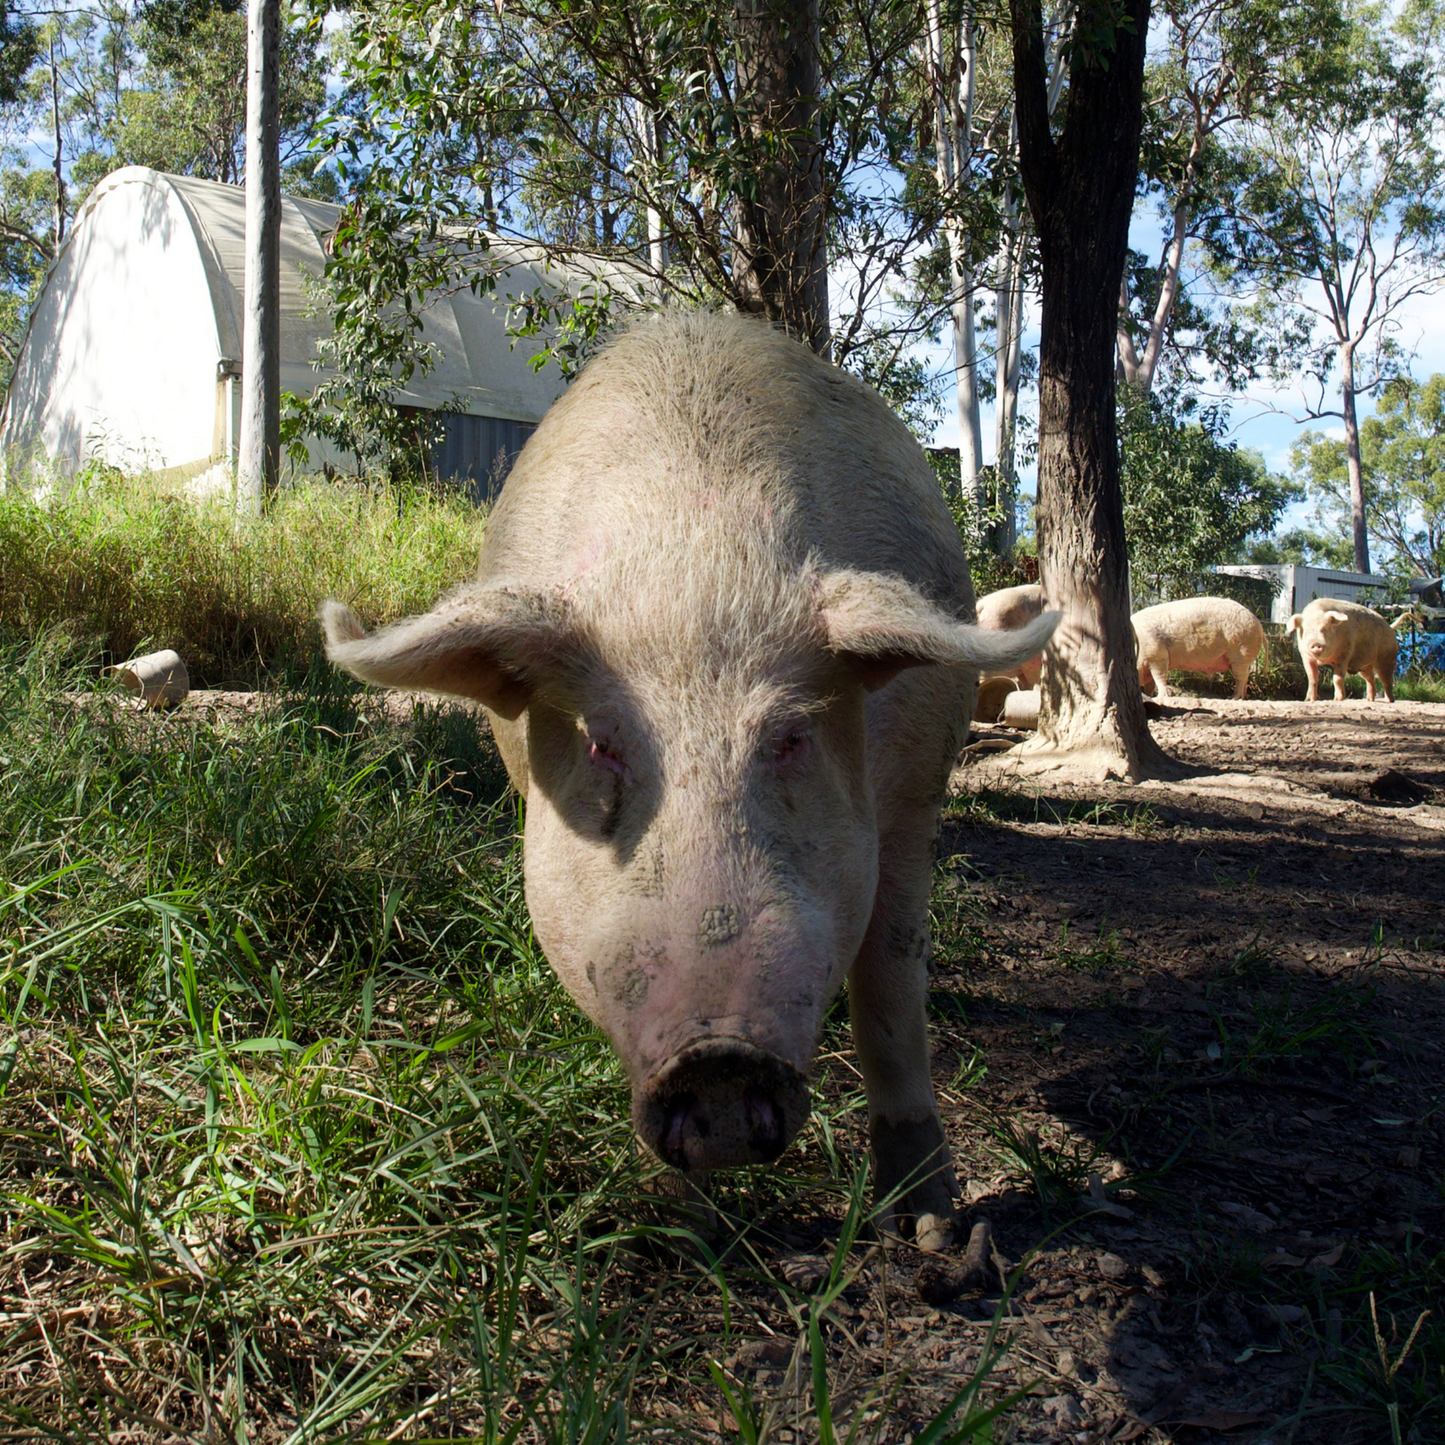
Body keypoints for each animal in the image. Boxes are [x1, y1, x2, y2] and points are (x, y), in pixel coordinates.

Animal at [321, 312, 1057, 1247]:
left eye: (790, 735)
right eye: (602, 743)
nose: (717, 1059)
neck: (696, 561)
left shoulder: (913, 795)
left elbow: (890, 986)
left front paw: (932, 1233)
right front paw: (690, 1232)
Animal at [1131, 597, 1266, 701]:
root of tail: (1259, 625)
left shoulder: (1158, 655)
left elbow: (1159, 677)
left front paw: (1158, 698)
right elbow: (1150, 683)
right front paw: (1150, 695)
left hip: (1242, 653)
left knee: (1241, 677)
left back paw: (1232, 698)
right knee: (1245, 676)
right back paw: (1239, 698)